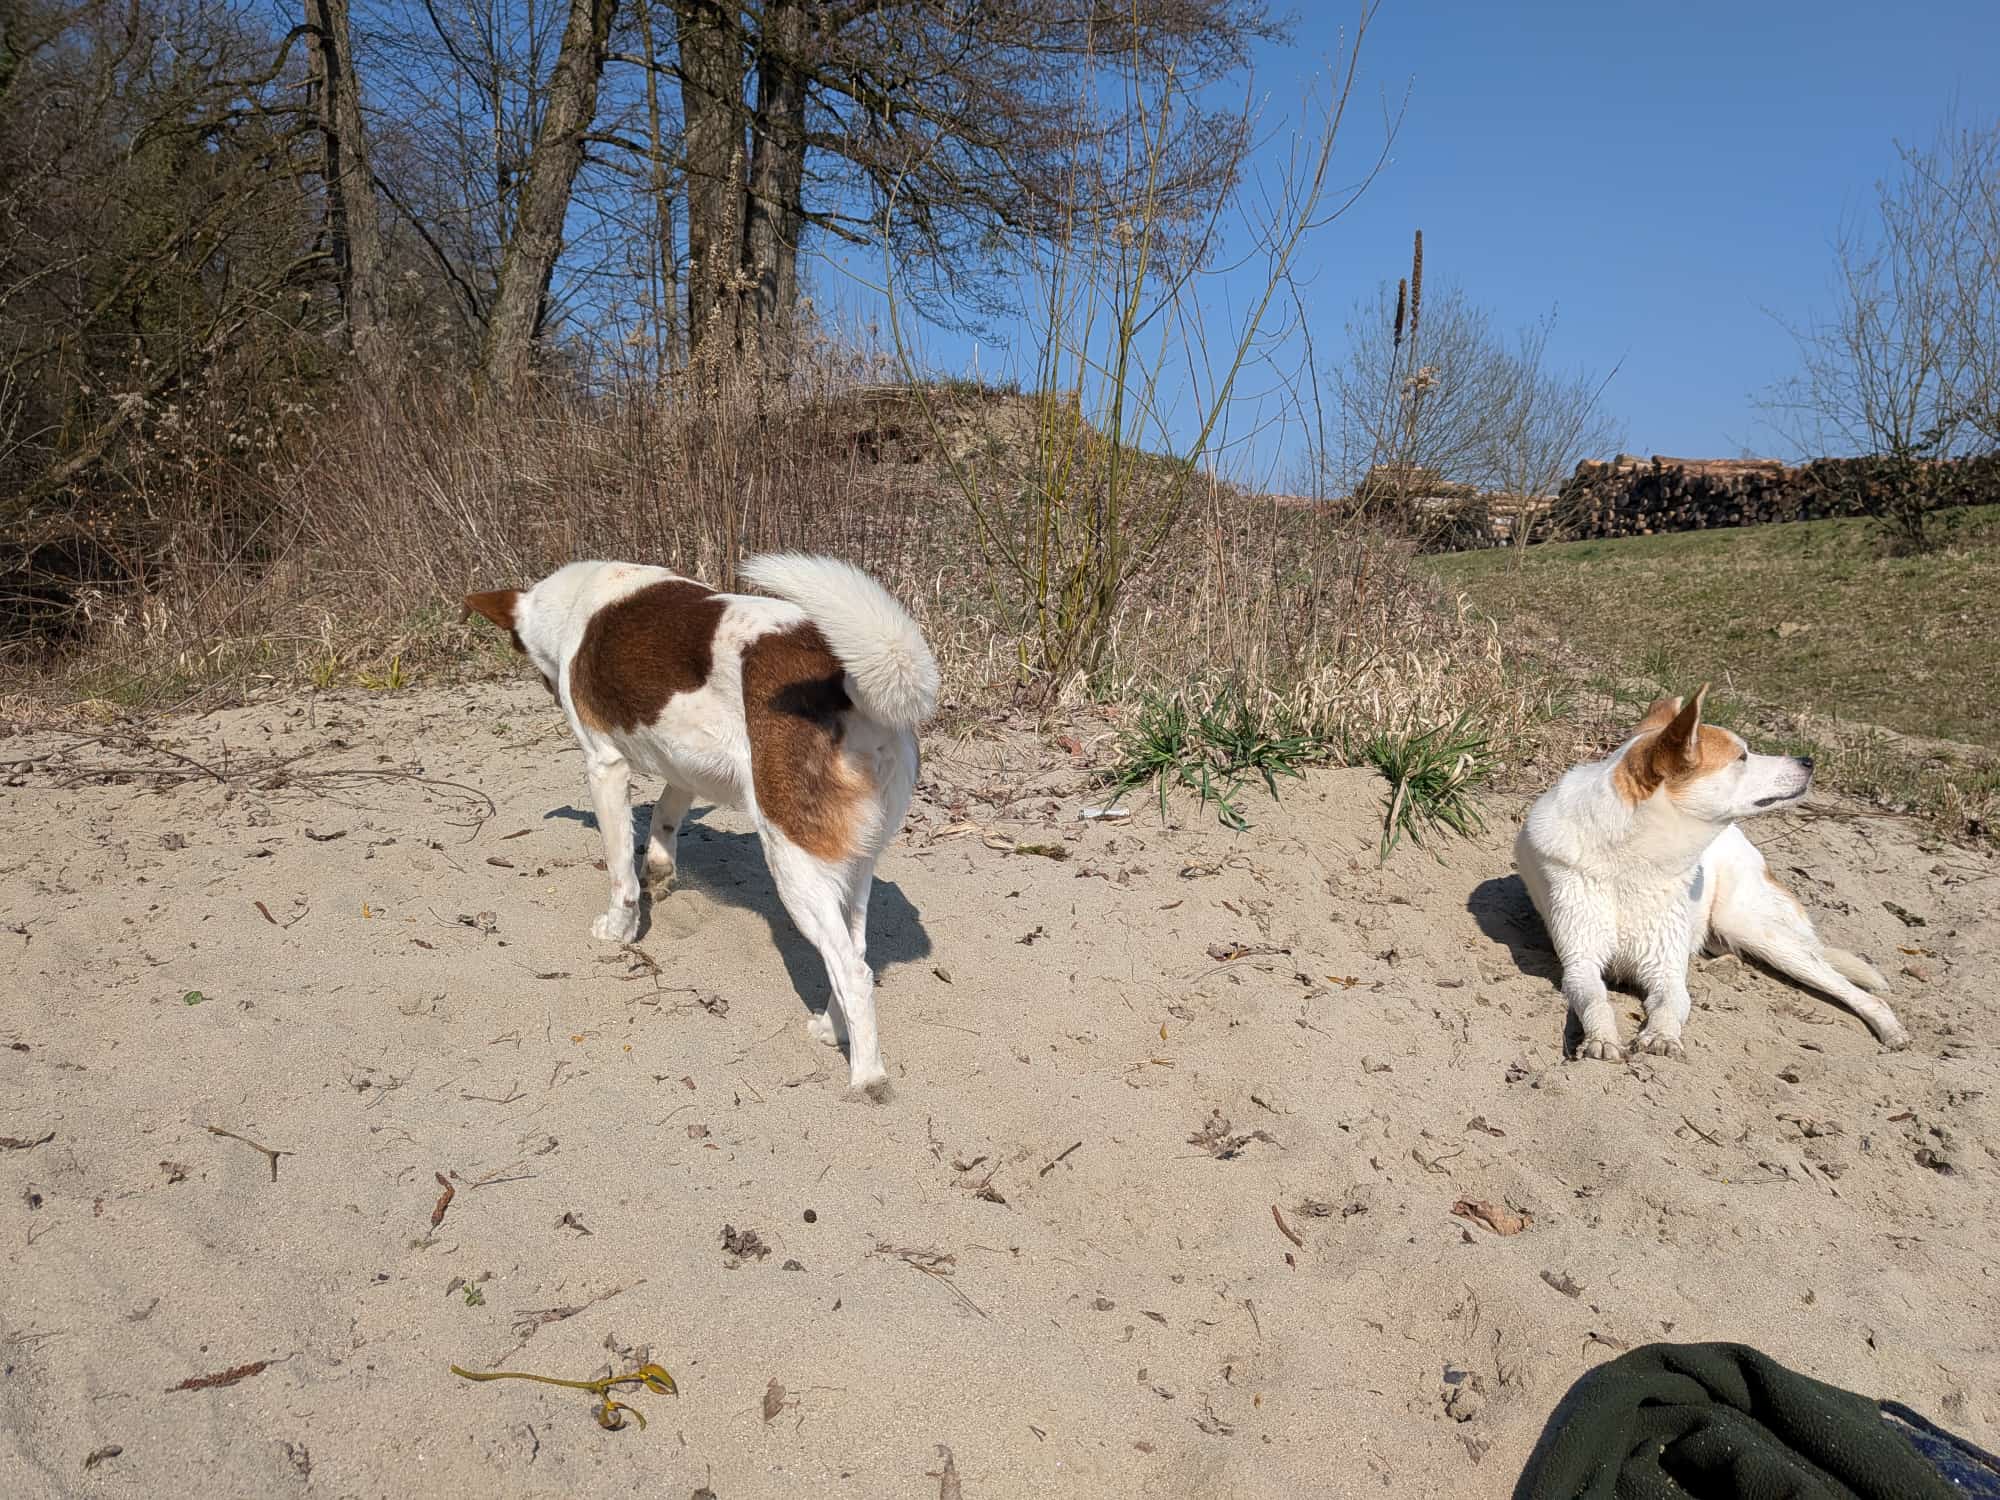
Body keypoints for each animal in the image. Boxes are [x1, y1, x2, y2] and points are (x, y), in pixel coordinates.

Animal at [463, 554, 938, 1094]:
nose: (550, 690)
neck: (578, 603)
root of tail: (844, 680)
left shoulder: (604, 767)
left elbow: (621, 875)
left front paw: (619, 930)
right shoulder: (684, 763)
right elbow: (665, 818)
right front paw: (660, 869)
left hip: (792, 859)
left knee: (851, 970)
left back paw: (866, 1076)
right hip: (854, 860)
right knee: (857, 952)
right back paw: (829, 1030)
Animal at [1515, 685, 1908, 1061]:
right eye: (1742, 756)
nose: (1808, 759)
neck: (1631, 860)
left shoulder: (1667, 973)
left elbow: (1670, 1008)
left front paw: (1661, 1037)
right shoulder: (1581, 963)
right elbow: (1596, 1002)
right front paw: (1601, 1039)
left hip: (1752, 928)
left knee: (1865, 995)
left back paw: (1892, 1032)